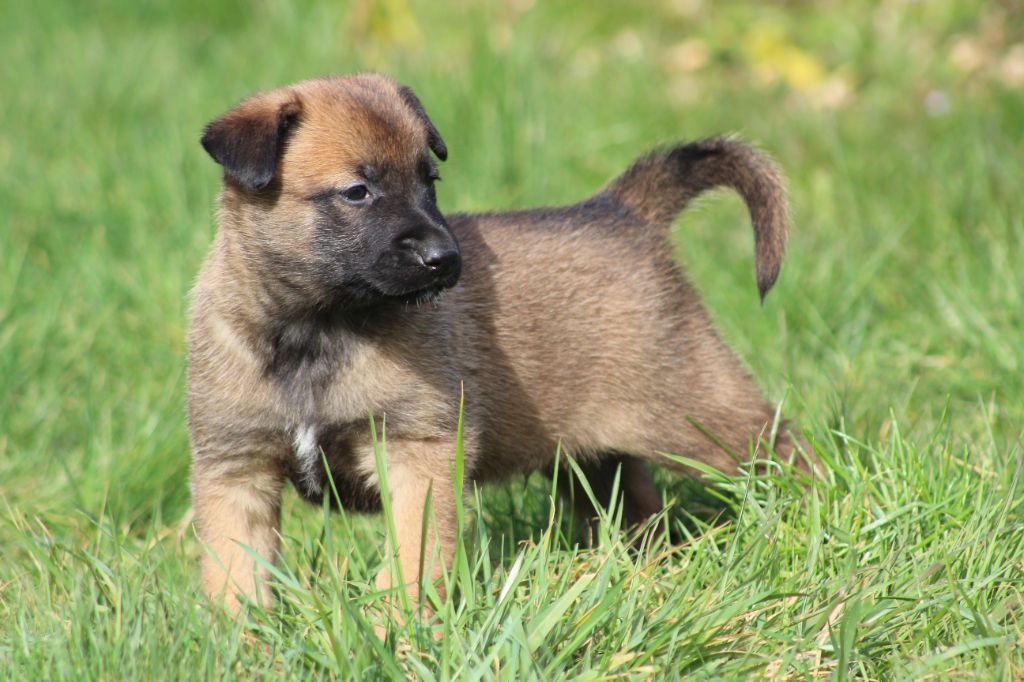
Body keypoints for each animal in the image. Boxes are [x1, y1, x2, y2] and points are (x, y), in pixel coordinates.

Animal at [184, 73, 806, 610]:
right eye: (357, 192)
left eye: (429, 182)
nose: (445, 259)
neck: (316, 330)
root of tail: (622, 210)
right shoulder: (234, 473)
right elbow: (234, 582)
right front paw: (243, 648)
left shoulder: (418, 454)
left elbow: (411, 561)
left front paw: (396, 630)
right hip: (591, 457)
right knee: (638, 507)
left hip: (697, 411)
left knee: (784, 451)